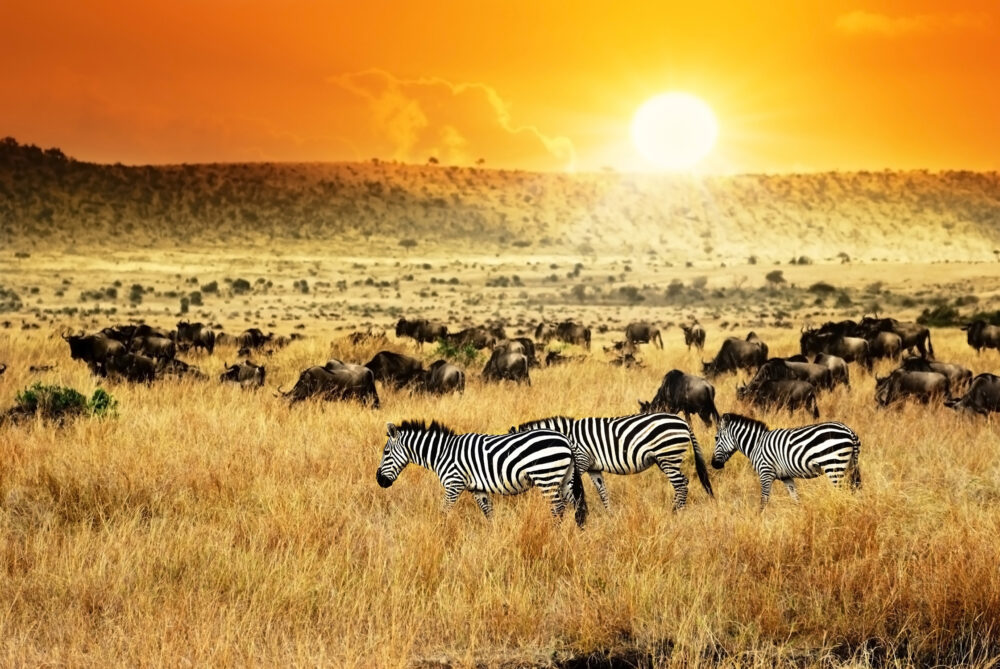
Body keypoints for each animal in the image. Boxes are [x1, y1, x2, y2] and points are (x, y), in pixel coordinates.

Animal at [376, 420, 588, 526]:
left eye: (385, 452)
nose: (379, 480)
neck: (442, 453)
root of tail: (565, 439)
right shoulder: (477, 489)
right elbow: (488, 513)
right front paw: (493, 537)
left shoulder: (454, 484)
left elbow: (443, 511)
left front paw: (439, 533)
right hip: (564, 478)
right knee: (577, 505)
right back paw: (578, 533)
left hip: (546, 476)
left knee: (558, 508)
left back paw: (555, 534)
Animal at [510, 413, 713, 511]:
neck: (566, 437)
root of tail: (683, 422)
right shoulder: (592, 467)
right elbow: (602, 491)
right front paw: (609, 514)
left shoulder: (580, 460)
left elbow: (569, 489)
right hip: (667, 458)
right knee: (683, 482)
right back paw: (676, 508)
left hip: (667, 456)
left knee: (681, 484)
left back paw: (675, 511)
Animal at [710, 413, 862, 510]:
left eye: (716, 438)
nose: (713, 464)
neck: (756, 444)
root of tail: (849, 431)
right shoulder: (786, 477)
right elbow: (795, 498)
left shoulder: (765, 472)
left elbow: (764, 500)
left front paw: (759, 520)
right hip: (849, 465)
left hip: (833, 466)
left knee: (841, 493)